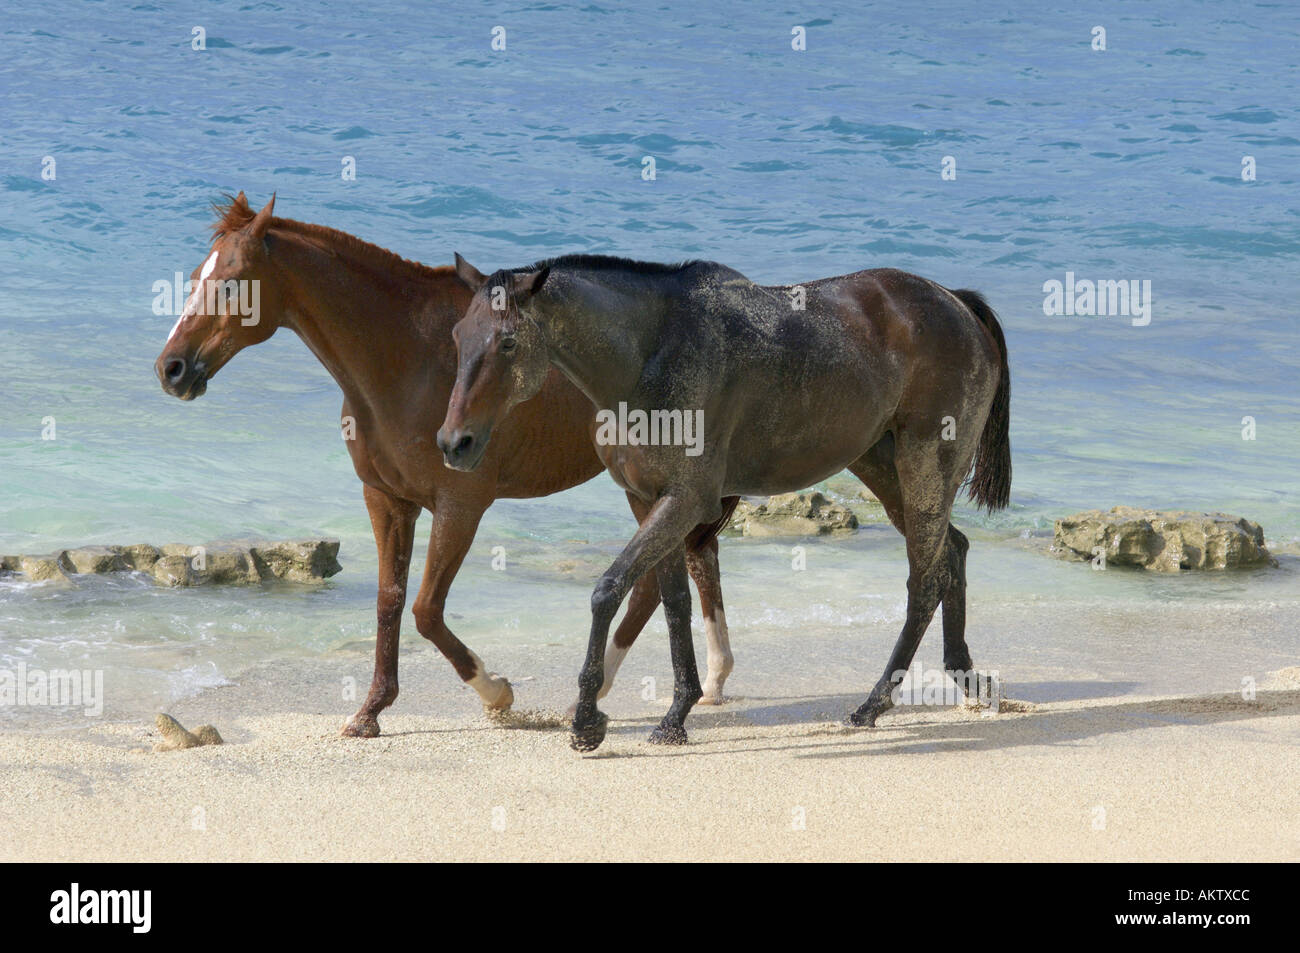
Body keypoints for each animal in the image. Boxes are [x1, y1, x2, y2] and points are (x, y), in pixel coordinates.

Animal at [150, 195, 738, 738]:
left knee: (664, 577)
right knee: (681, 569)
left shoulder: (461, 505)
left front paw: (496, 693)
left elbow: (426, 610)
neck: (408, 358)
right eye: (198, 279)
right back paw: (701, 682)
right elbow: (390, 602)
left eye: (231, 285)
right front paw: (370, 711)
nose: (171, 369)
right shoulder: (387, 499)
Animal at [441, 254, 1008, 748]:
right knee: (952, 552)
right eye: (458, 336)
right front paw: (676, 715)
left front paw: (586, 723)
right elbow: (674, 603)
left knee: (925, 581)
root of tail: (956, 303)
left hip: (924, 466)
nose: (453, 443)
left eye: (507, 342)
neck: (650, 357)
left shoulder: (686, 502)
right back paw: (964, 680)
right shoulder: (647, 500)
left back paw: (872, 705)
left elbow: (608, 590)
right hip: (881, 466)